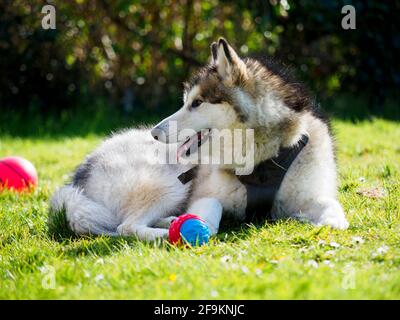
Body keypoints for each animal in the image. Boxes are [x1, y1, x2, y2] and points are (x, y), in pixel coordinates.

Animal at [50, 38, 348, 241]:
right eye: (185, 102)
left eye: (196, 103)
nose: (154, 133)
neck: (259, 161)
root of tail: (78, 178)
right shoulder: (205, 194)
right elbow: (209, 219)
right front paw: (193, 228)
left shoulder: (313, 196)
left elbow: (335, 215)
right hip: (170, 181)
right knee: (126, 226)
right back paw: (165, 233)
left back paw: (168, 221)